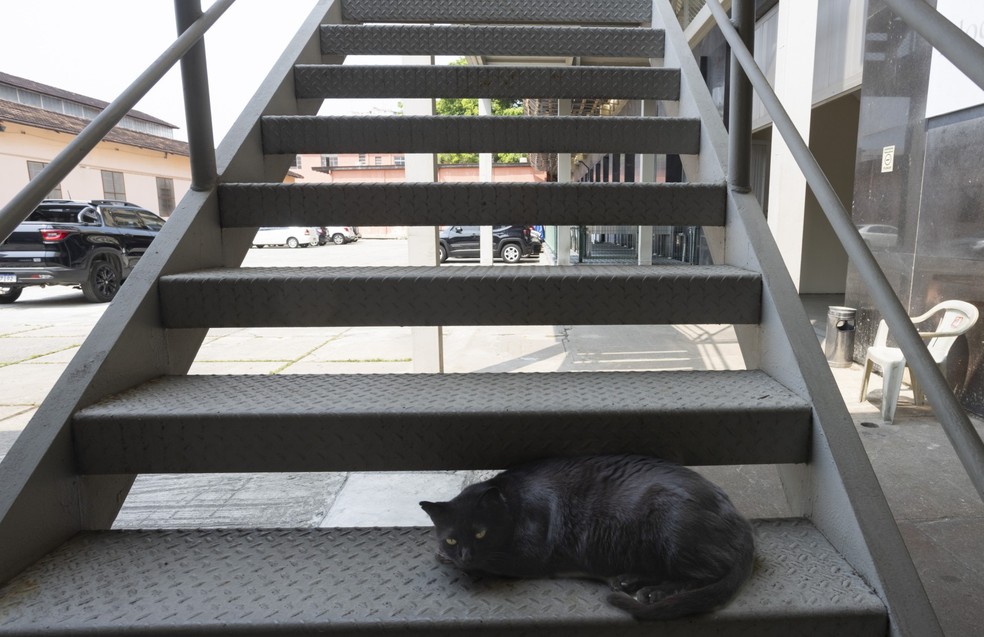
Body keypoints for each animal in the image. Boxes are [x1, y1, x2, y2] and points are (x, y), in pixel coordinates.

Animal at [420, 454, 752, 620]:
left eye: (480, 533)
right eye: (452, 539)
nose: (465, 555)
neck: (513, 500)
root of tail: (740, 520)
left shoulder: (529, 554)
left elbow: (494, 562)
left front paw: (449, 559)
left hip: (669, 520)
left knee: (709, 572)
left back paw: (654, 593)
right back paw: (629, 581)